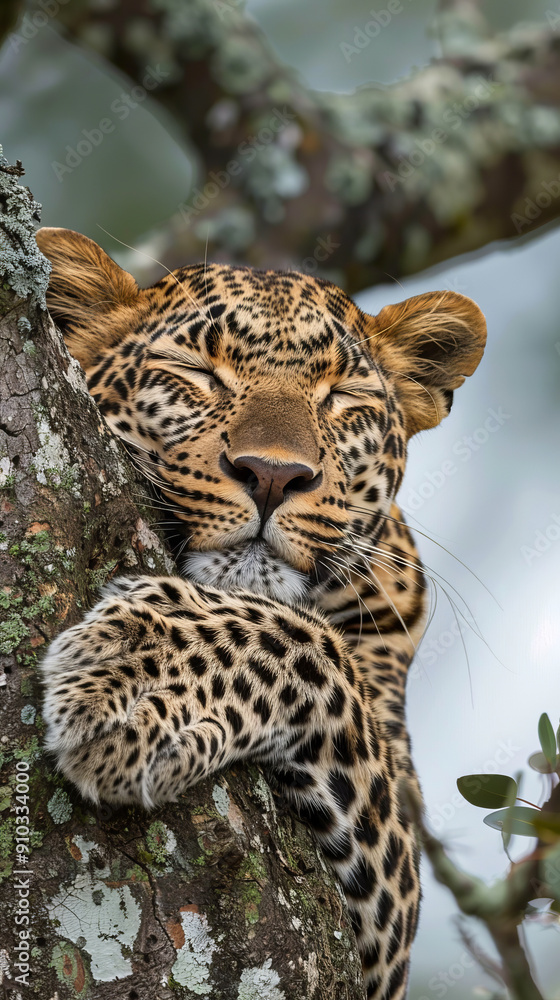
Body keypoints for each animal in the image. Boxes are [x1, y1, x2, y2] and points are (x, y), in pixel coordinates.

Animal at [36, 227, 486, 1000]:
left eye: (341, 396)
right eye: (197, 371)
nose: (274, 475)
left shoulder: (389, 913)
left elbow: (312, 644)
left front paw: (134, 682)